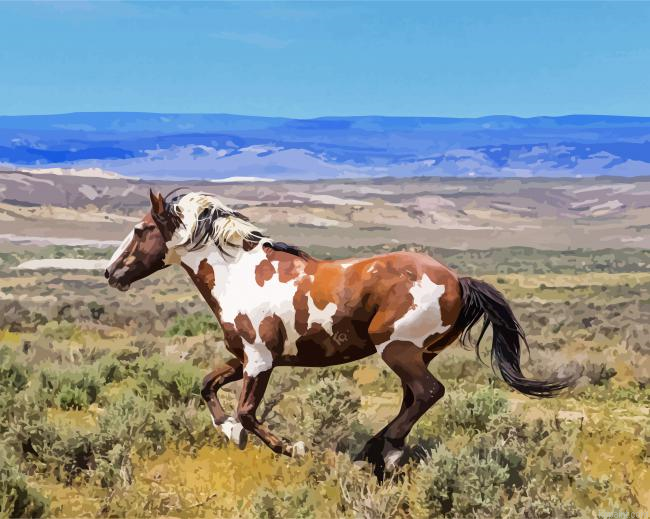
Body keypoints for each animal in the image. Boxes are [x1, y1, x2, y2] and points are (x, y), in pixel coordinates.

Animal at [105, 190, 569, 478]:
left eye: (141, 230)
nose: (110, 273)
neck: (239, 276)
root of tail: (457, 279)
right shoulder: (242, 358)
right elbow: (207, 386)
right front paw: (230, 433)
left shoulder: (260, 361)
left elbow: (249, 412)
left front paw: (291, 447)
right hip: (418, 353)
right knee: (414, 397)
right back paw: (377, 452)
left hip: (397, 349)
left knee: (428, 393)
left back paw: (385, 451)